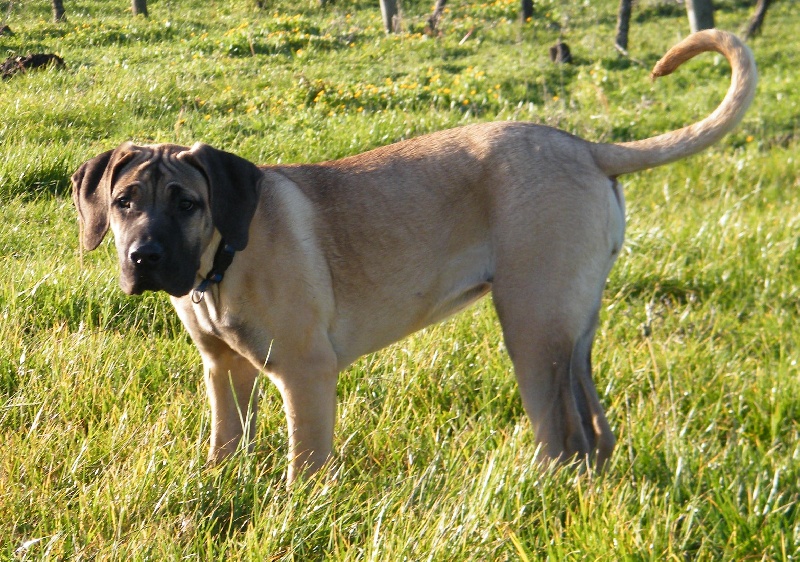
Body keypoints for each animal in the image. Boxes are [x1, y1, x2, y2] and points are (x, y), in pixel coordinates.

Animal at [72, 30, 752, 484]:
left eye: (187, 203)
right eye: (125, 201)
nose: (143, 257)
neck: (223, 263)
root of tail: (586, 147)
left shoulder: (306, 373)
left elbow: (304, 469)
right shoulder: (224, 371)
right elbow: (223, 447)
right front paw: (216, 491)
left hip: (532, 325)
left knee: (562, 434)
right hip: (570, 326)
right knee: (593, 433)